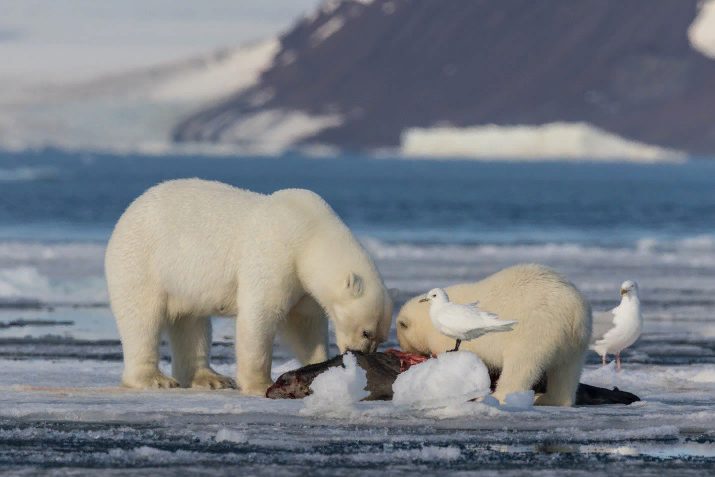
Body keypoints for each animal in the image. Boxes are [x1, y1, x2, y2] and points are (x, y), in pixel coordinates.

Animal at [105, 178, 392, 394]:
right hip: (142, 261)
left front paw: (322, 368)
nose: (363, 353)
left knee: (192, 324)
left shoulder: (302, 283)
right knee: (142, 319)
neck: (310, 232)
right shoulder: (276, 254)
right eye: (366, 332)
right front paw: (259, 384)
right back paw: (155, 379)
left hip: (184, 284)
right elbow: (260, 315)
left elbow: (304, 324)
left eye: (380, 337)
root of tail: (127, 214)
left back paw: (211, 379)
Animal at [398, 264, 592, 406]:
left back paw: (498, 396)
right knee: (567, 371)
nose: (406, 352)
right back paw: (549, 399)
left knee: (521, 365)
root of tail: (574, 311)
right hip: (575, 342)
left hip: (535, 330)